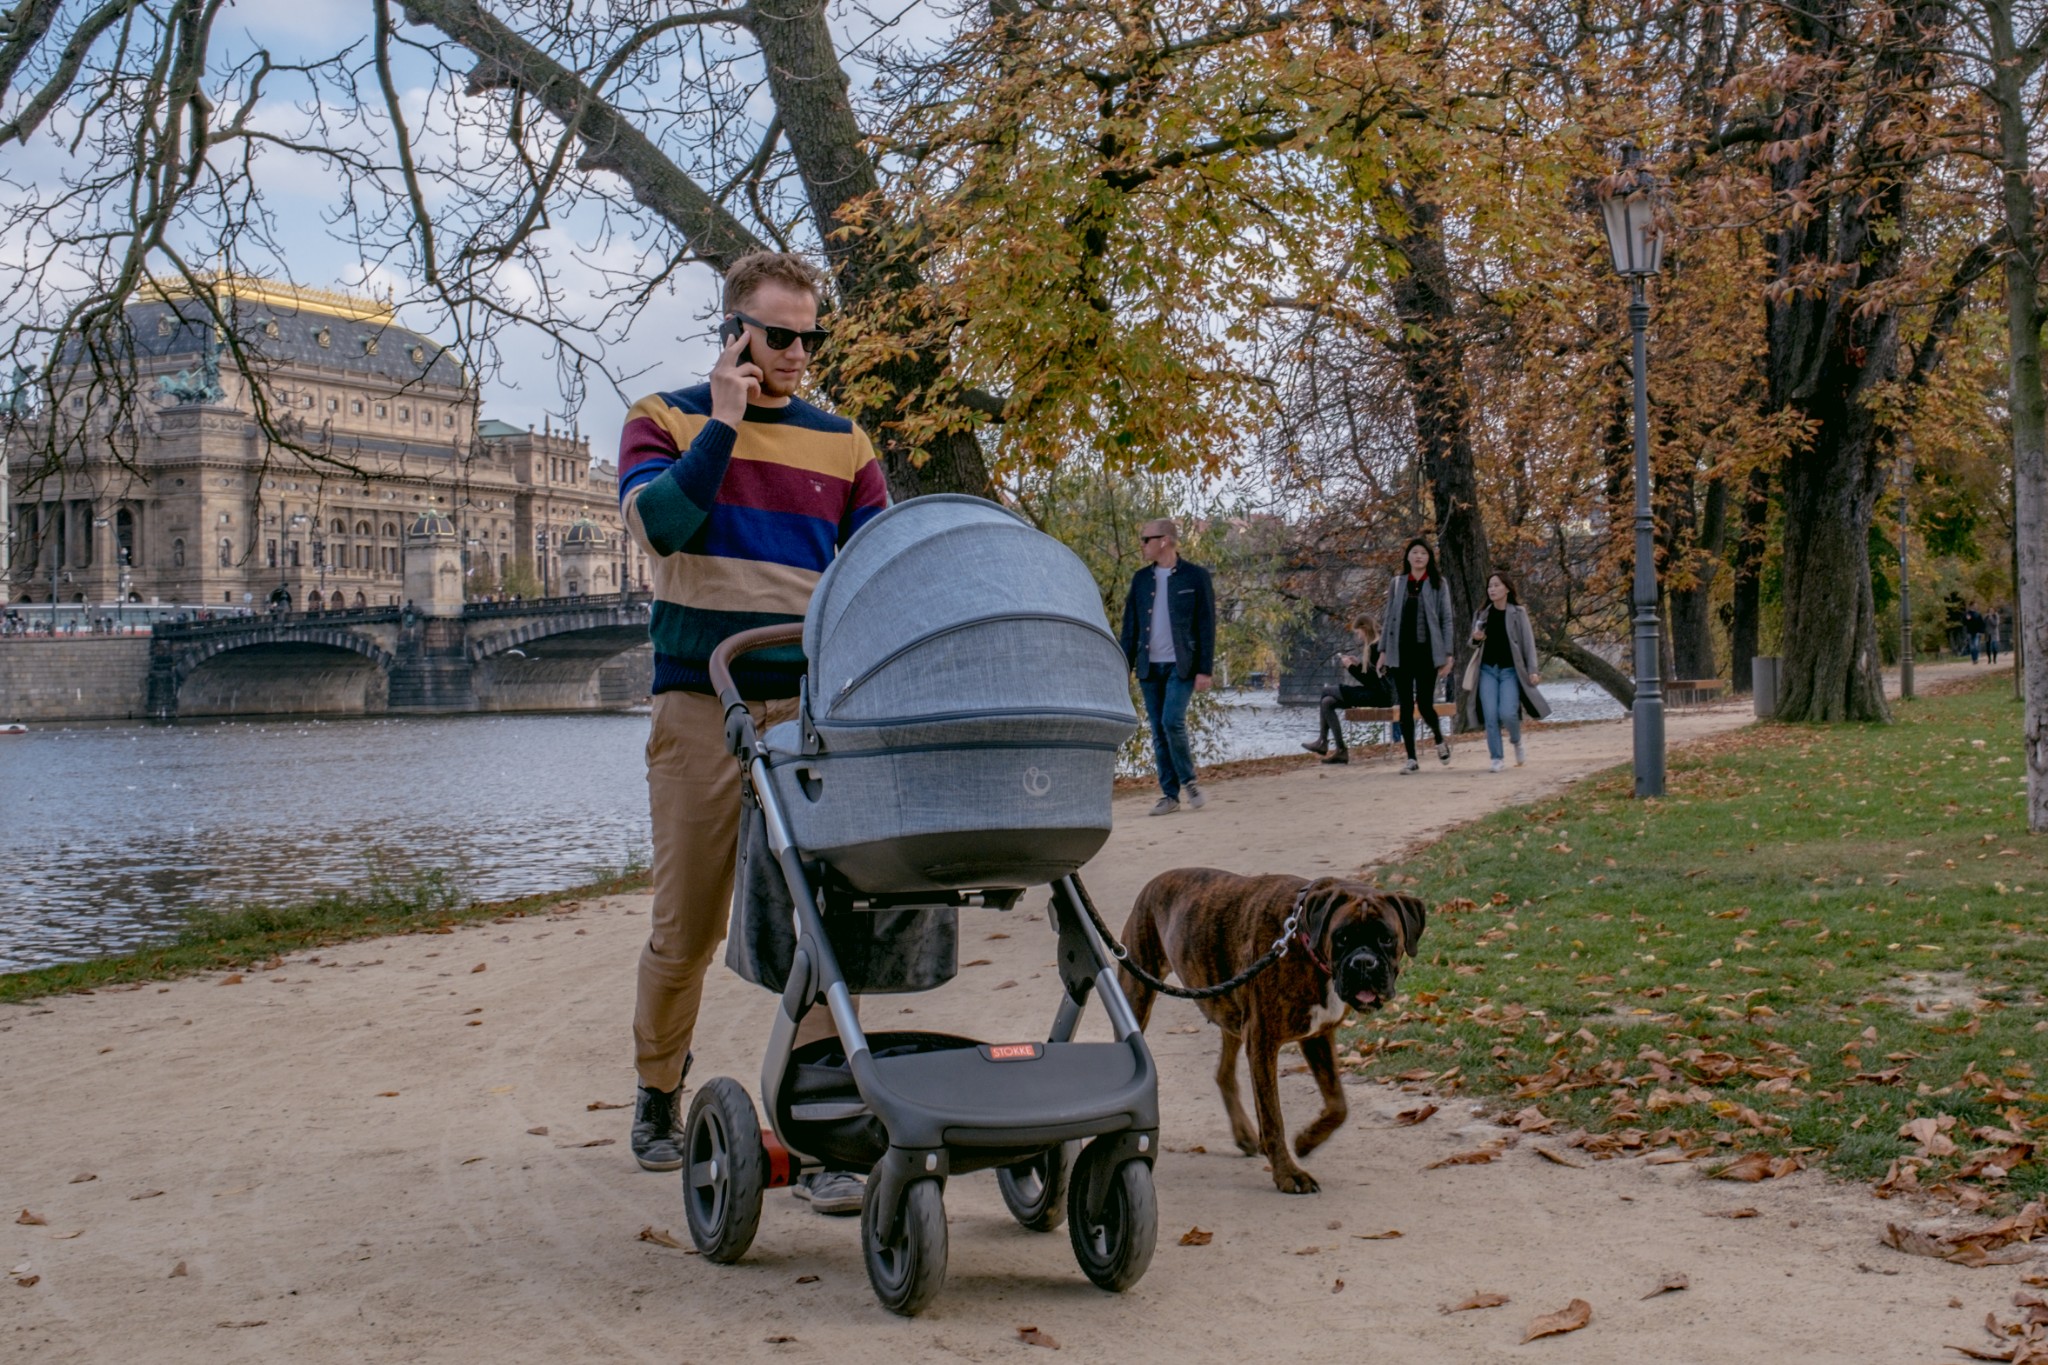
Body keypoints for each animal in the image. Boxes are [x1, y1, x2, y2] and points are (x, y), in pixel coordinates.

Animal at [1122, 871, 1425, 1186]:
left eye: (1386, 938)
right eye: (1341, 938)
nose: (1364, 962)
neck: (1302, 939)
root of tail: (1155, 882)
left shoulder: (1317, 1037)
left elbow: (1338, 1104)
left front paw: (1307, 1140)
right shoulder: (1262, 1041)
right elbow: (1272, 1116)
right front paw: (1288, 1174)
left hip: (1230, 1010)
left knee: (1224, 1072)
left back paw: (1244, 1133)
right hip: (1138, 993)